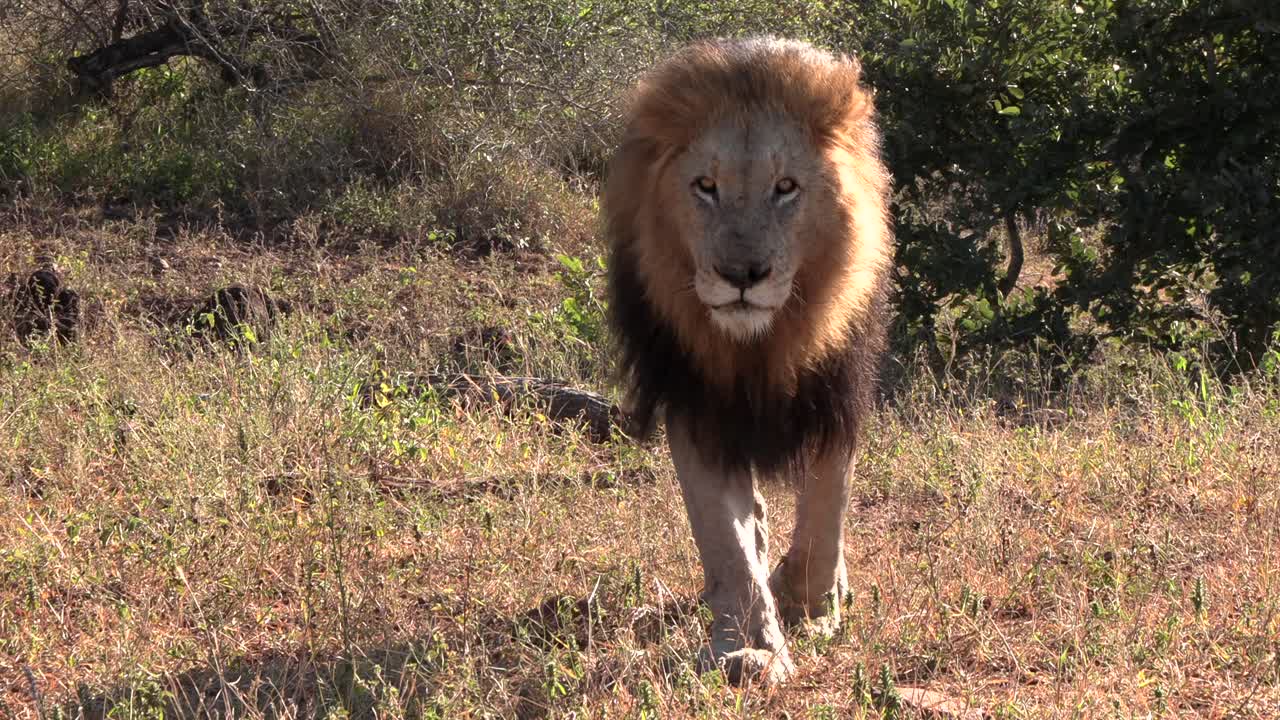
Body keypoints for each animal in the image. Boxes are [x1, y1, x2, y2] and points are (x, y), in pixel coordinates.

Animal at [604, 37, 892, 684]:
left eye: (785, 187)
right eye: (705, 186)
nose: (742, 275)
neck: (761, 345)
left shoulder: (835, 393)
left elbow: (826, 512)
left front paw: (811, 607)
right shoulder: (695, 402)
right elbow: (726, 542)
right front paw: (749, 648)